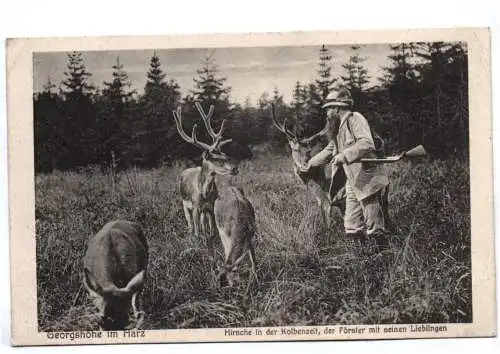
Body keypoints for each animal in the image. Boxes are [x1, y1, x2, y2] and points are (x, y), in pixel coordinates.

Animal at [173, 102, 239, 266]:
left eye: (225, 156)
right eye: (216, 159)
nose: (235, 169)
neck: (204, 193)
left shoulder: (211, 206)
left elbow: (213, 232)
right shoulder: (196, 207)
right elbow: (197, 232)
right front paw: (198, 250)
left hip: (203, 211)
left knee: (203, 227)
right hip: (185, 205)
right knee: (191, 227)